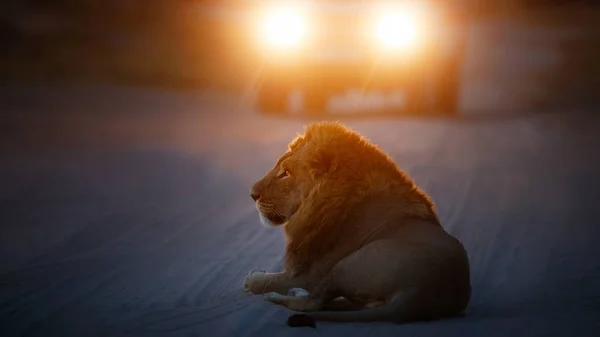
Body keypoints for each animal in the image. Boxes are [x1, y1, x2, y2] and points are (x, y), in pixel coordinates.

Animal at [241, 121, 472, 326]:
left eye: (286, 173)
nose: (252, 194)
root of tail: (420, 292)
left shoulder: (309, 275)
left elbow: (267, 281)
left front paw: (254, 278)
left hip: (349, 262)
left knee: (313, 302)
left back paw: (278, 296)